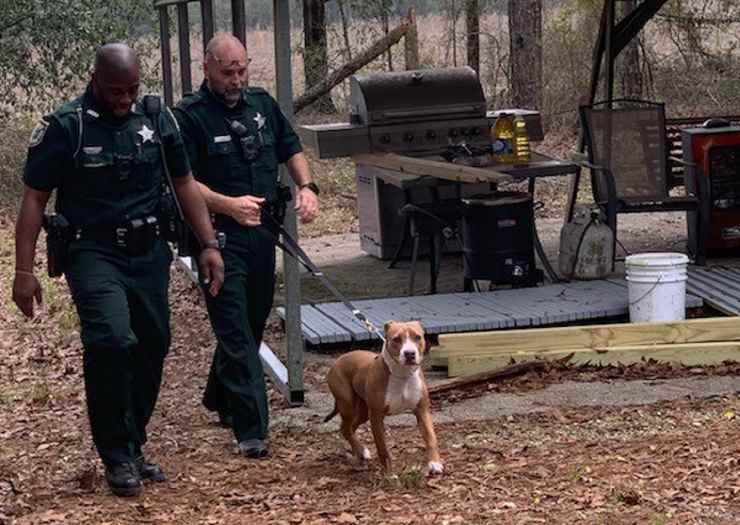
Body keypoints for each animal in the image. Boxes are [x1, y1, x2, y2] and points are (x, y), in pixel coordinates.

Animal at [322, 320, 440, 474]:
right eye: (396, 339)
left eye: (418, 337)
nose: (409, 353)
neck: (402, 374)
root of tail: (338, 360)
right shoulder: (376, 416)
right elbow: (382, 446)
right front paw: (389, 473)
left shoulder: (422, 410)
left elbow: (431, 437)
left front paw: (435, 462)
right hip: (348, 405)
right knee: (346, 428)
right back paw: (361, 451)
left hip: (363, 412)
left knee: (349, 428)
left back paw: (360, 451)